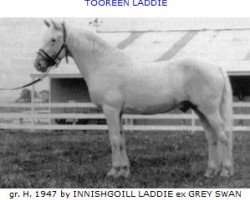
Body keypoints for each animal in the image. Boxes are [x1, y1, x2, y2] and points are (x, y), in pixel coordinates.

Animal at [33, 20, 234, 178]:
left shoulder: (110, 109)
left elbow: (114, 139)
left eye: (53, 39)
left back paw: (225, 171)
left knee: (222, 134)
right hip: (200, 110)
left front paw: (114, 171)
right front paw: (124, 170)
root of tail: (216, 67)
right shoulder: (119, 112)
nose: (38, 64)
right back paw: (210, 171)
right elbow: (122, 140)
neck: (104, 64)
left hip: (209, 110)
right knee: (211, 137)